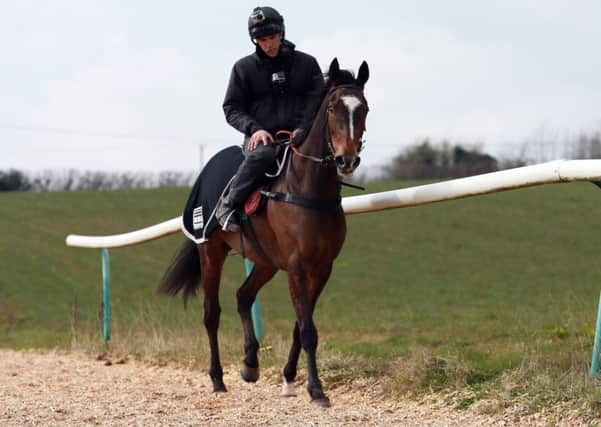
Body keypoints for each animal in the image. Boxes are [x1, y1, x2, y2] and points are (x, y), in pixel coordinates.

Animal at [157, 57, 368, 408]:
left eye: (363, 108)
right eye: (333, 108)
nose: (347, 159)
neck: (308, 189)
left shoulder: (322, 268)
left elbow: (300, 325)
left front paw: (290, 379)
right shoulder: (297, 266)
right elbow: (308, 329)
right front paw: (317, 390)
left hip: (265, 261)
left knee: (243, 296)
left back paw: (250, 364)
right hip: (210, 252)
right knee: (211, 313)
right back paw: (217, 378)